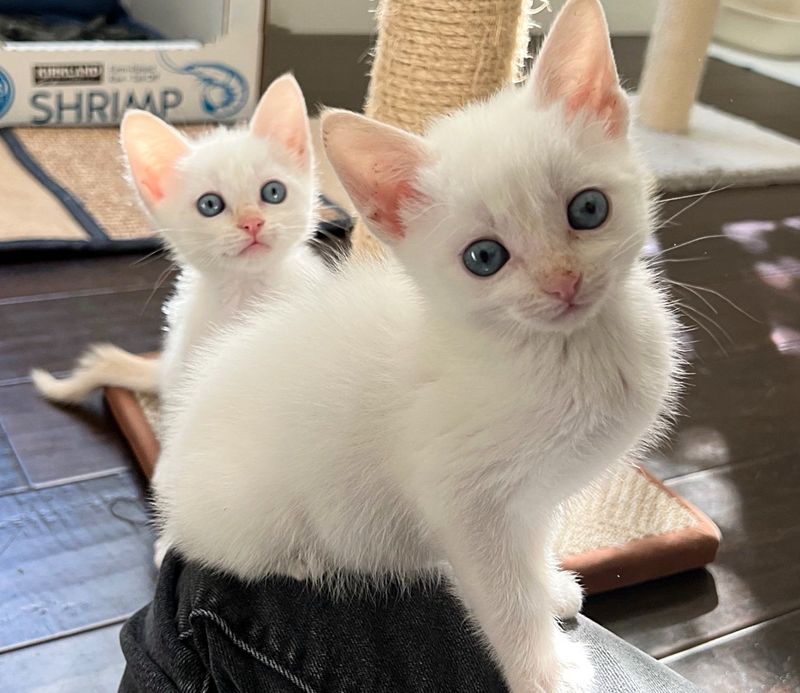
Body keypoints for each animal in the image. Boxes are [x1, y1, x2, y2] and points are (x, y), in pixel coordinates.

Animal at [155, 2, 680, 688]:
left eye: (588, 209)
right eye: (484, 258)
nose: (562, 282)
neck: (558, 352)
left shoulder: (534, 497)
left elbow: (533, 546)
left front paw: (549, 587)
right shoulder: (463, 500)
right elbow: (504, 596)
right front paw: (544, 671)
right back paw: (309, 560)